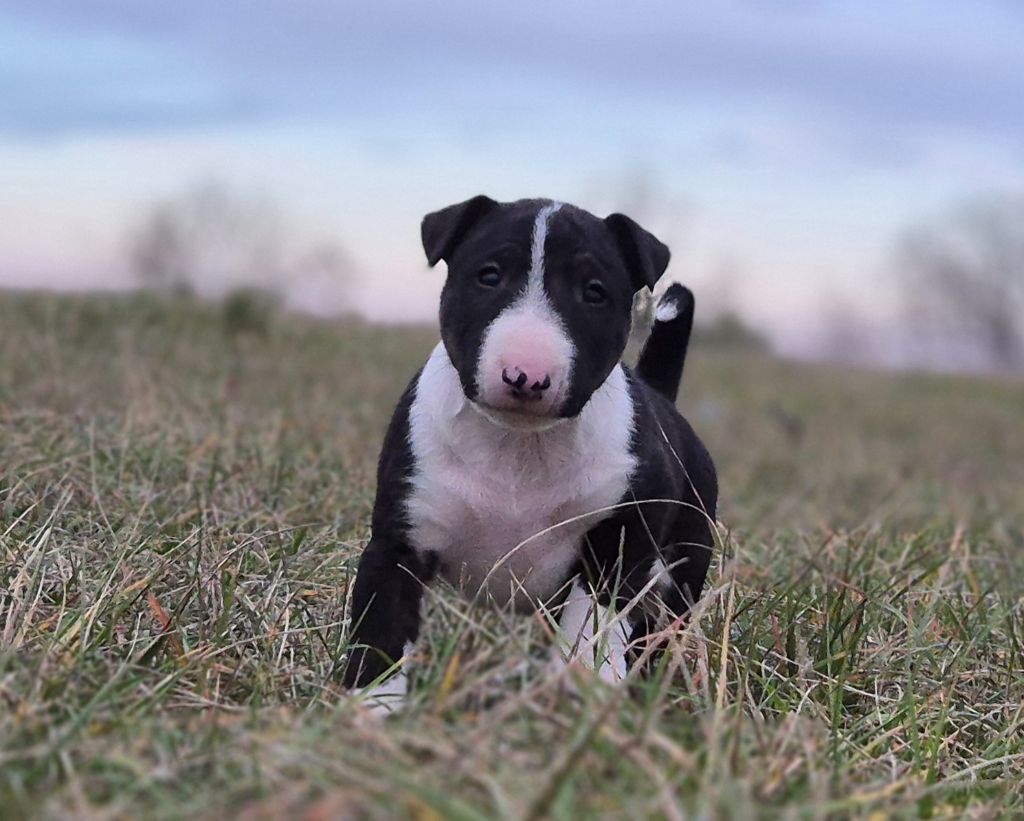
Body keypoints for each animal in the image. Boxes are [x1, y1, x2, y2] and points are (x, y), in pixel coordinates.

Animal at [339, 193, 716, 704]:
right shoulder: (400, 539)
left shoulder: (620, 544)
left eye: (594, 291)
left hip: (686, 561)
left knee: (660, 627)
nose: (526, 374)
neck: (518, 447)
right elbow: (382, 625)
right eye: (489, 275)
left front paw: (588, 695)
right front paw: (372, 707)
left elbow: (592, 624)